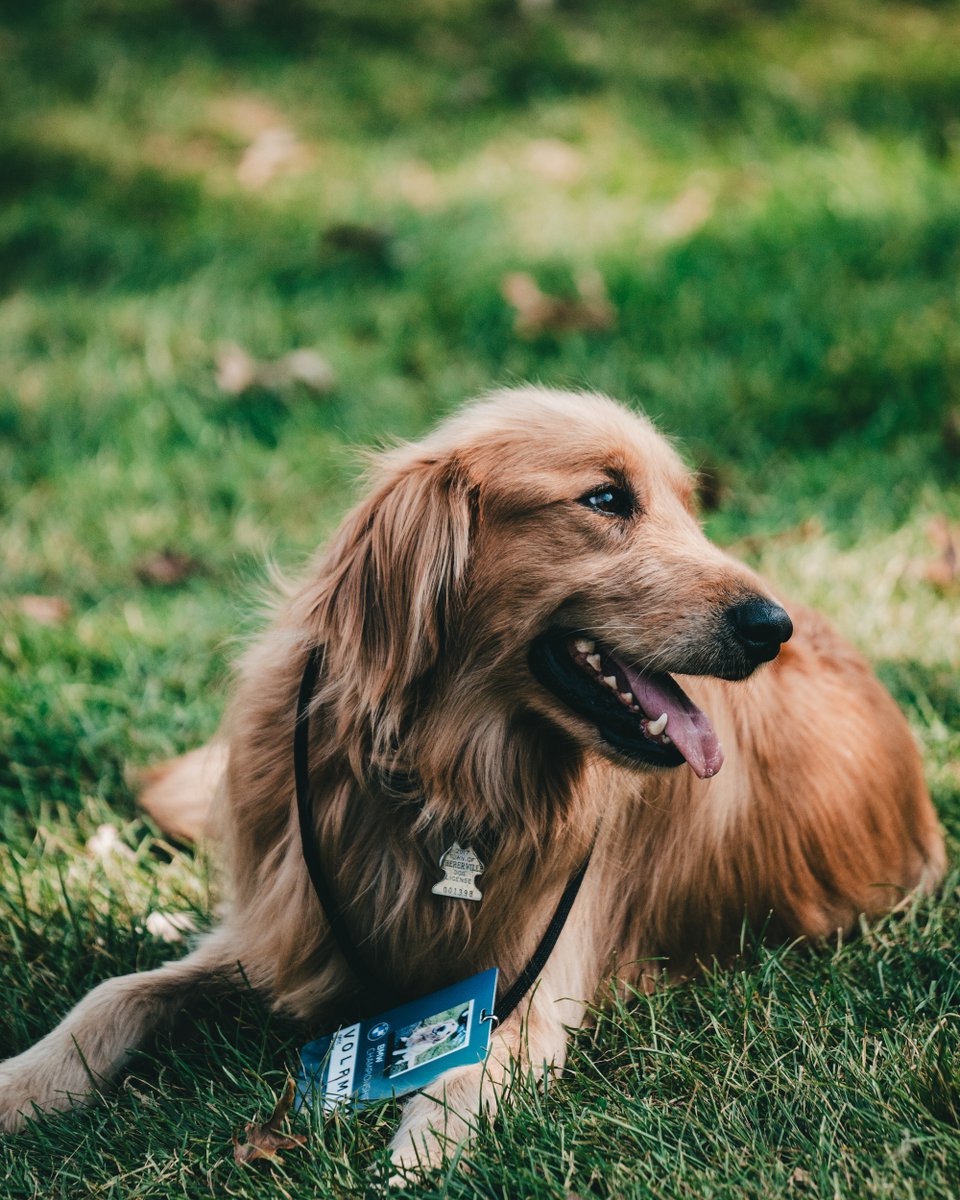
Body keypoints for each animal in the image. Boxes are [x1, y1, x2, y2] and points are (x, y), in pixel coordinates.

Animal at [0, 391, 945, 1171]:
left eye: (689, 506)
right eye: (607, 500)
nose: (770, 626)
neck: (443, 776)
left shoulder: (532, 992)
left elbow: (462, 1075)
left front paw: (415, 1155)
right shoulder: (282, 927)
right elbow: (117, 995)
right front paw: (21, 1085)